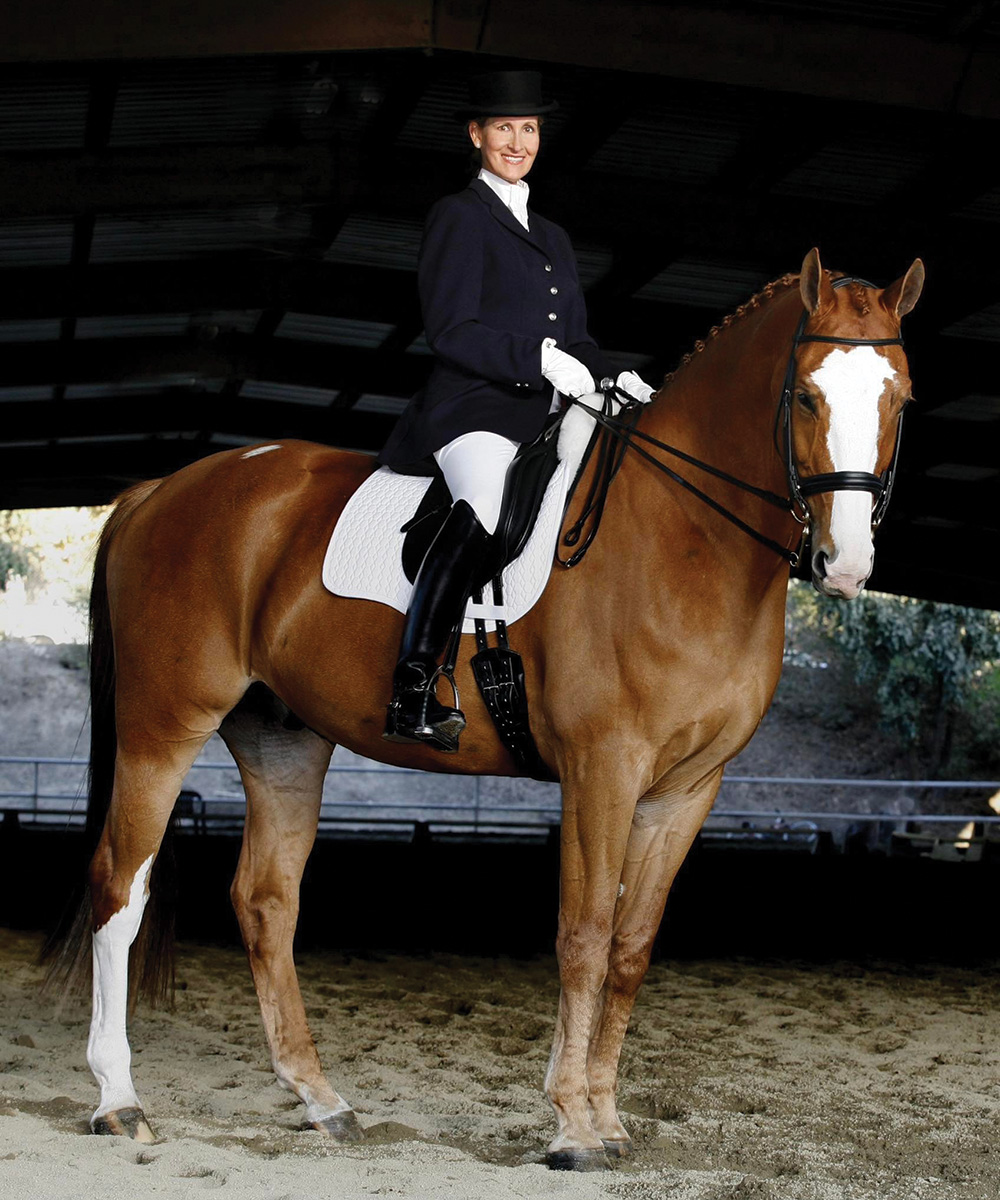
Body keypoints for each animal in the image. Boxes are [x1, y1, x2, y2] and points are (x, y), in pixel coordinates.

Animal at [45, 250, 921, 1161]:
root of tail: (160, 489)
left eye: (900, 400)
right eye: (807, 397)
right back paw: (118, 1099)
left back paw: (322, 1099)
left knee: (265, 900)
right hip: (163, 724)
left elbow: (632, 948)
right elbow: (584, 936)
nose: (845, 564)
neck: (685, 537)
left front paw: (608, 1118)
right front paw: (573, 1126)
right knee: (121, 886)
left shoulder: (687, 790)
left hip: (282, 740)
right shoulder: (601, 770)